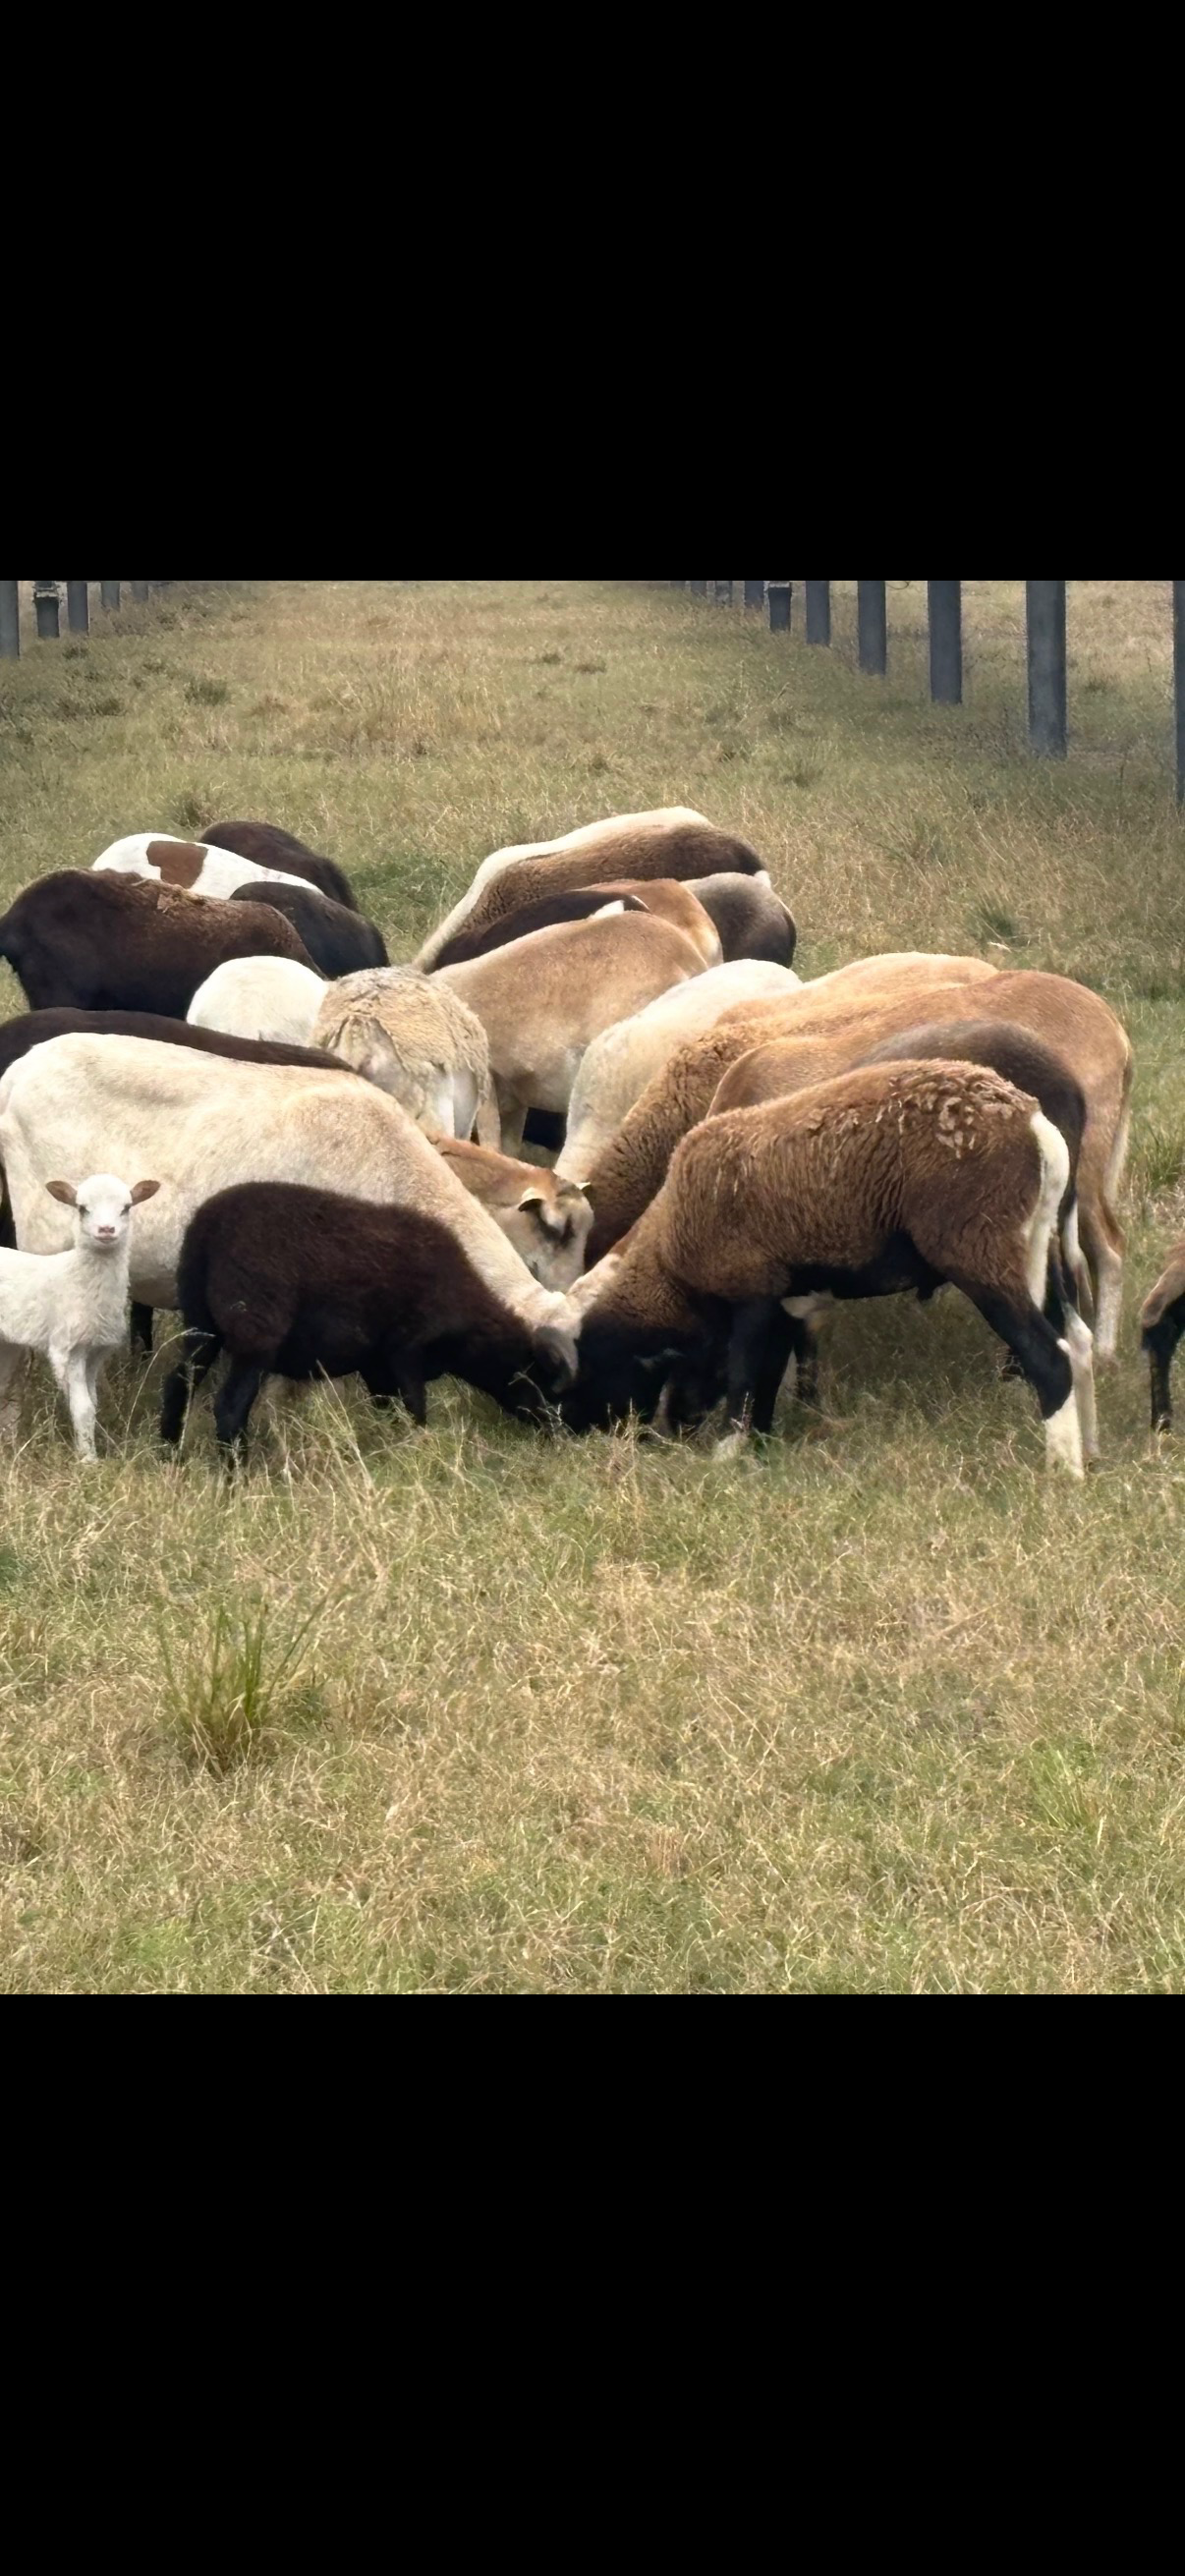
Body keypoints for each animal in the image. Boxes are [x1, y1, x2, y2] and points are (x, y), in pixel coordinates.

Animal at [0, 1173, 159, 1459]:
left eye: (126, 1208)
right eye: (82, 1208)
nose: (106, 1230)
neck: (77, 1276)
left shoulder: (96, 1350)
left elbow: (93, 1403)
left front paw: (89, 1449)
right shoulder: (67, 1348)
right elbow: (82, 1407)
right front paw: (88, 1459)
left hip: (6, 1341)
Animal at [160, 1184, 578, 1465]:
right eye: (535, 1376)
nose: (558, 1433)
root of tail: (207, 1230)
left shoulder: (376, 1366)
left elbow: (389, 1410)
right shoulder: (405, 1351)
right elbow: (416, 1409)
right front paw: (419, 1452)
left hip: (201, 1325)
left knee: (178, 1382)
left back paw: (169, 1455)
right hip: (256, 1331)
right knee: (229, 1408)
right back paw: (235, 1477)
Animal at [563, 1061, 1091, 1478]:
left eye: (598, 1371)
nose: (578, 1435)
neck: (673, 1249)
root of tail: (1034, 1124)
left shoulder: (751, 1292)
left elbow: (743, 1376)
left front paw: (728, 1456)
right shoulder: (787, 1299)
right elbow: (766, 1380)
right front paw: (760, 1450)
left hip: (979, 1252)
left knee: (1052, 1358)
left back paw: (1064, 1472)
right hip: (1034, 1247)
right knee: (1079, 1342)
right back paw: (1092, 1449)